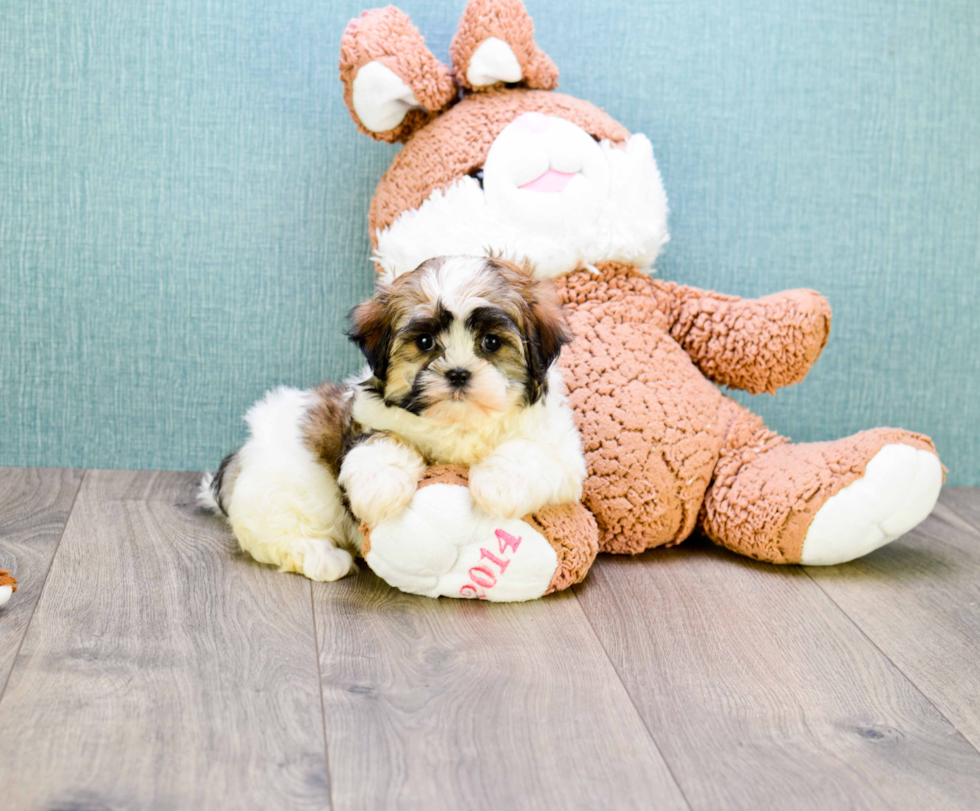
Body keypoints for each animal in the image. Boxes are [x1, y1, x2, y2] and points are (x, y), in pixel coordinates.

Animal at [195, 256, 584, 580]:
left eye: (491, 343)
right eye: (425, 342)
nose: (458, 374)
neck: (457, 424)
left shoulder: (561, 450)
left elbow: (528, 452)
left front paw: (497, 486)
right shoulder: (367, 422)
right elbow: (381, 444)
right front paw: (380, 489)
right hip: (282, 494)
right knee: (284, 535)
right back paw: (325, 559)